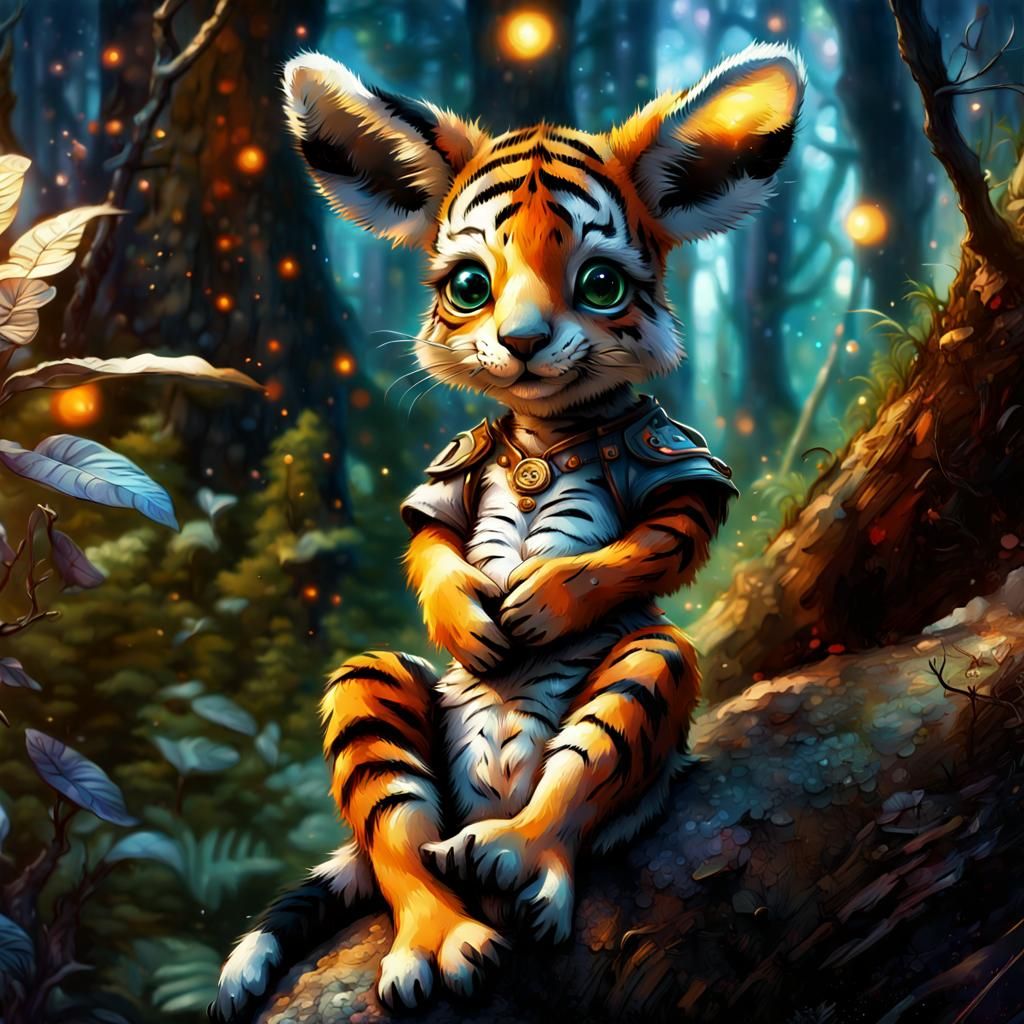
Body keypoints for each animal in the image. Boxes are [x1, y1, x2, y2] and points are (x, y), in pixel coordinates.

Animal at [212, 41, 804, 1022]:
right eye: (468, 286)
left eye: (600, 284)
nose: (522, 342)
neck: (545, 428)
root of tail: (486, 805)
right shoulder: (454, 467)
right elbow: (430, 541)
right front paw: (470, 611)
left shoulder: (672, 460)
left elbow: (657, 540)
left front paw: (542, 601)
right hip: (377, 693)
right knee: (400, 837)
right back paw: (437, 937)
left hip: (644, 674)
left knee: (584, 763)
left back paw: (512, 859)